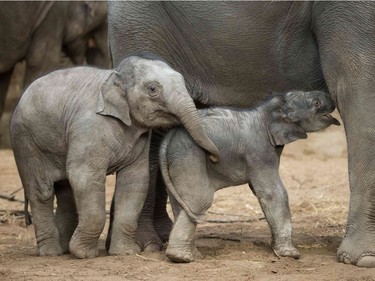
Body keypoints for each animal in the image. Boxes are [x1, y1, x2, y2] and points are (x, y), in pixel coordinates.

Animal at [10, 53, 219, 258]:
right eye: (152, 89)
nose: (214, 158)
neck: (114, 75)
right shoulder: (88, 129)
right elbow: (85, 177)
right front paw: (84, 254)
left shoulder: (140, 139)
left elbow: (135, 181)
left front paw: (125, 252)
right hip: (26, 142)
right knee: (42, 192)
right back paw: (51, 253)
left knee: (65, 191)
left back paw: (64, 249)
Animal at [160, 90, 342, 262]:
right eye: (316, 103)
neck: (268, 110)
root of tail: (169, 136)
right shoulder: (259, 151)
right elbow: (273, 193)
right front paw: (290, 254)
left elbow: (259, 191)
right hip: (189, 154)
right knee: (199, 200)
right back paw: (180, 257)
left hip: (177, 159)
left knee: (182, 203)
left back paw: (193, 255)